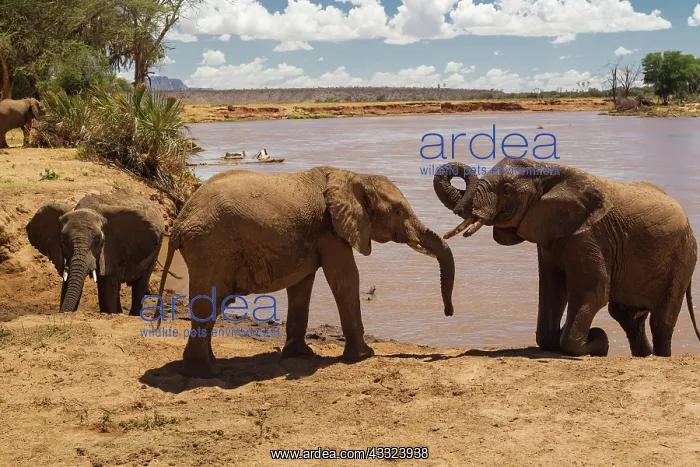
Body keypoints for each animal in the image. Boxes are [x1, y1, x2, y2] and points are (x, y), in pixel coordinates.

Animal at [26, 190, 166, 315]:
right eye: (64, 242)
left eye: (99, 242)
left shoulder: (112, 251)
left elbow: (107, 288)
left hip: (156, 249)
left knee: (140, 285)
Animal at [158, 165, 456, 378]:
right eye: (398, 212)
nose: (448, 313)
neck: (355, 176)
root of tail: (179, 223)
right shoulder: (331, 230)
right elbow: (346, 278)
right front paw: (364, 355)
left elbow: (302, 285)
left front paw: (300, 356)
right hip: (210, 247)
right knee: (209, 303)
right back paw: (205, 374)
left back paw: (210, 367)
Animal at [433, 158, 700, 358]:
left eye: (507, 190)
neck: (547, 171)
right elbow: (552, 290)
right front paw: (585, 339)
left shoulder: (587, 235)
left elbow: (592, 291)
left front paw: (598, 340)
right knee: (627, 316)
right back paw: (644, 355)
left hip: (683, 257)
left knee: (661, 320)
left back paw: (661, 356)